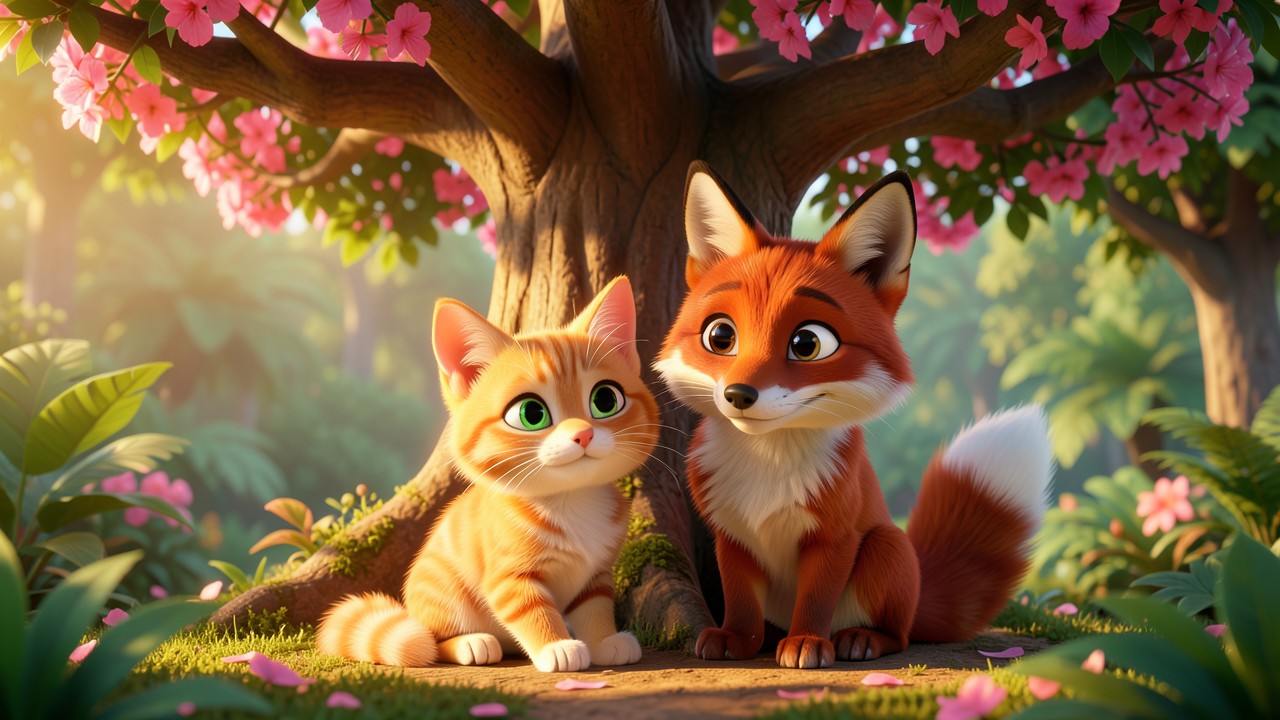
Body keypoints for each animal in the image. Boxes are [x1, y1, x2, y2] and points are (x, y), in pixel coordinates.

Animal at [655, 162, 1054, 669]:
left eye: (807, 343)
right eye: (720, 336)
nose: (738, 394)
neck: (769, 466)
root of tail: (919, 593)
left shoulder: (836, 537)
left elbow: (816, 598)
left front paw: (807, 642)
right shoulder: (733, 534)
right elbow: (740, 598)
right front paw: (737, 640)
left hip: (887, 548)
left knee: (898, 635)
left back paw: (858, 640)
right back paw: (769, 637)